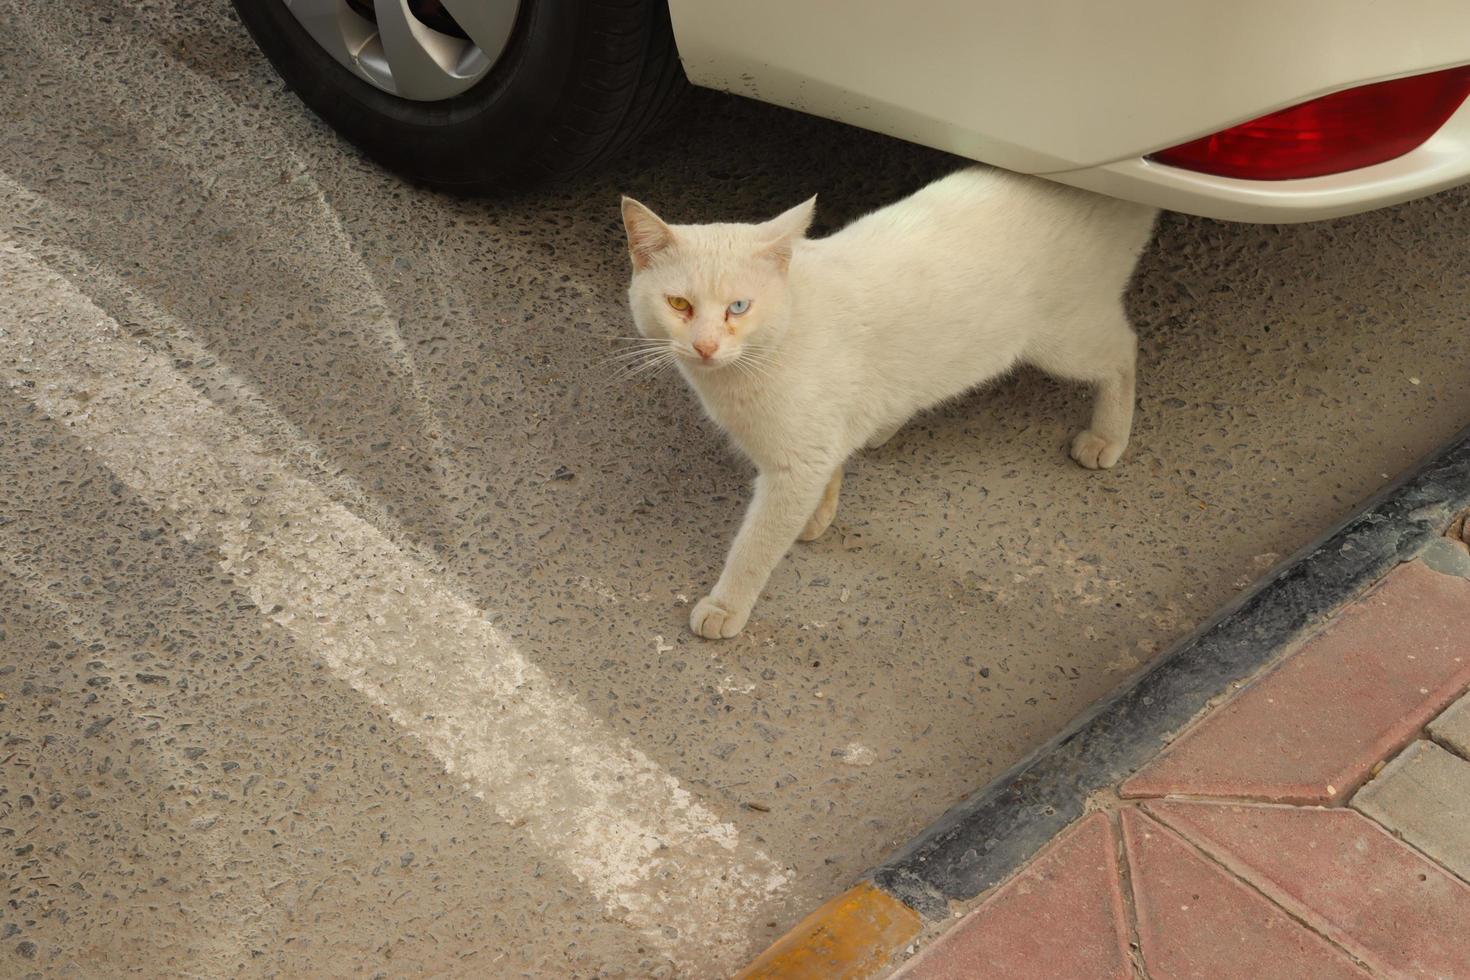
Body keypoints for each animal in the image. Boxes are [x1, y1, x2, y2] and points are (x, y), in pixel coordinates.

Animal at [620, 166, 1158, 643]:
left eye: (738, 307)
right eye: (680, 305)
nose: (705, 346)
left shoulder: (796, 464)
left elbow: (755, 545)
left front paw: (726, 605)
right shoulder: (820, 440)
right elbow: (827, 476)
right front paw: (816, 517)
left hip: (1064, 339)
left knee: (1125, 350)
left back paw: (1107, 438)